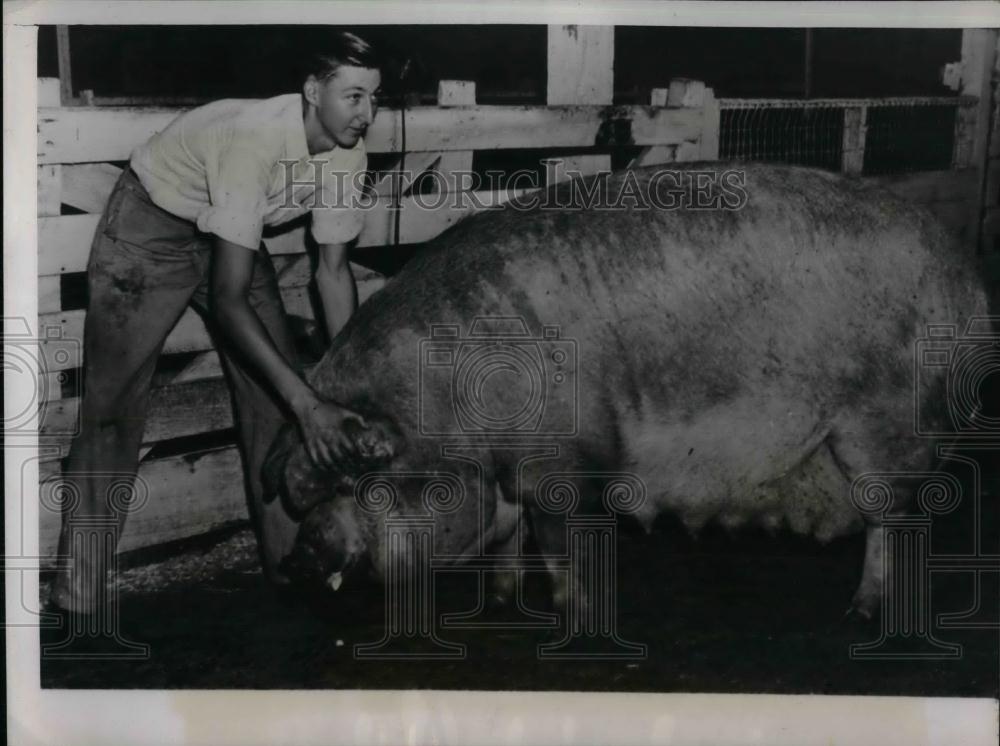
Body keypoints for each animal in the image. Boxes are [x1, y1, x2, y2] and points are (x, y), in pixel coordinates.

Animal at [262, 161, 988, 616]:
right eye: (309, 494)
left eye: (361, 481)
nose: (294, 561)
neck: (453, 410)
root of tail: (969, 282)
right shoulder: (508, 477)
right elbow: (505, 540)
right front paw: (499, 602)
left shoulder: (561, 468)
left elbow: (560, 552)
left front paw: (571, 616)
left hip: (882, 424)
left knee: (893, 518)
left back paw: (862, 612)